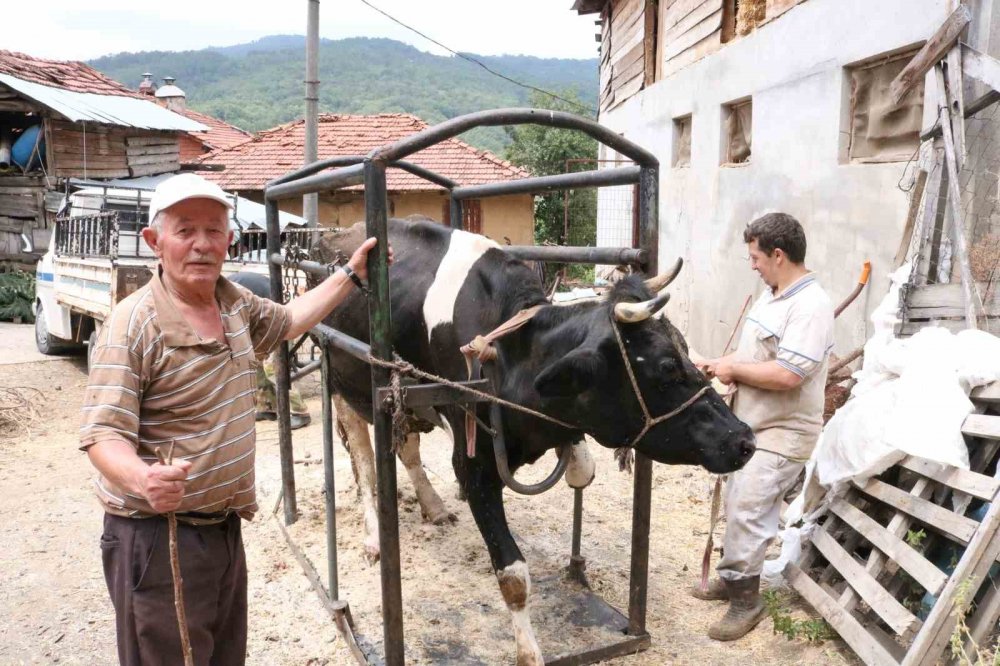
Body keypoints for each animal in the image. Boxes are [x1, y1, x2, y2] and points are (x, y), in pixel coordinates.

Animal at [308, 217, 752, 660]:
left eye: (687, 352)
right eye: (666, 368)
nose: (743, 439)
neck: (506, 354)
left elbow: (583, 469)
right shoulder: (473, 465)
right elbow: (513, 576)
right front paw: (529, 652)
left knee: (407, 448)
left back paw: (434, 506)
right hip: (344, 383)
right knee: (365, 464)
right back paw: (374, 537)